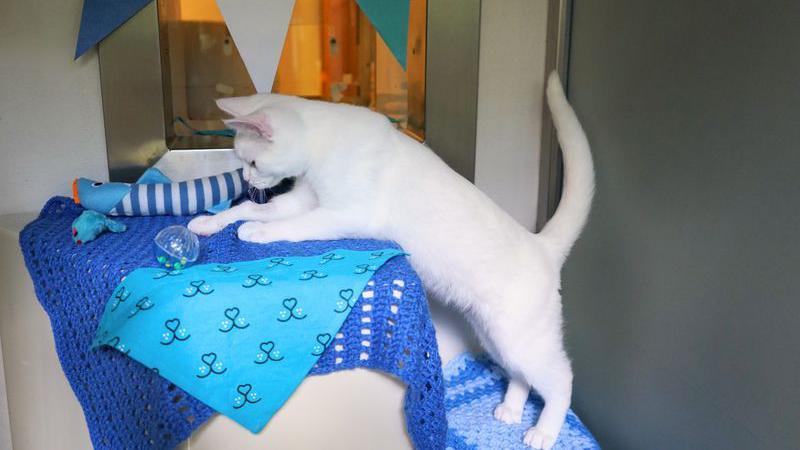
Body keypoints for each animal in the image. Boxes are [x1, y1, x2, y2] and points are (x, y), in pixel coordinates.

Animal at [189, 72, 592, 448]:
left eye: (252, 161)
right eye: (242, 162)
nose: (246, 177)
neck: (323, 143)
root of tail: (540, 245)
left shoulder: (345, 213)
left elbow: (291, 226)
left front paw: (257, 232)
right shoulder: (302, 199)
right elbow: (248, 210)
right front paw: (208, 223)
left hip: (521, 339)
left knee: (562, 379)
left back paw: (543, 432)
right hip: (493, 335)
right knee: (522, 375)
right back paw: (510, 409)